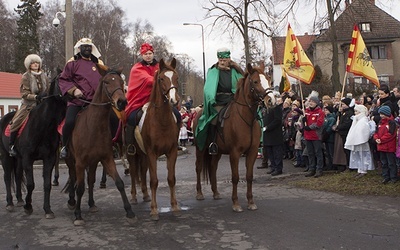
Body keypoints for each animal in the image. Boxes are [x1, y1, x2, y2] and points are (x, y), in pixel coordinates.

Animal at [0, 75, 66, 218]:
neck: (43, 125)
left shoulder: (49, 158)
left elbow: (47, 185)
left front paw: (48, 209)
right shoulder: (27, 158)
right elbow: (30, 184)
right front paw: (28, 206)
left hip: (18, 159)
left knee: (18, 175)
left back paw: (19, 200)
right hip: (6, 156)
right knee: (7, 178)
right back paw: (10, 203)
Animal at [64, 65, 136, 226]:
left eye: (121, 82)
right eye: (107, 82)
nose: (122, 102)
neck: (93, 126)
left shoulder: (106, 158)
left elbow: (119, 183)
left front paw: (129, 211)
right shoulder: (80, 162)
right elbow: (80, 188)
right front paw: (78, 215)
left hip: (93, 161)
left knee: (90, 181)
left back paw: (91, 204)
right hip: (71, 160)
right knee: (72, 178)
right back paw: (71, 201)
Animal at [126, 57, 180, 221]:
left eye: (176, 77)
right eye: (161, 78)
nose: (174, 100)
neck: (162, 121)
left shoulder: (171, 152)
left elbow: (171, 179)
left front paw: (175, 207)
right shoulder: (152, 153)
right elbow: (154, 181)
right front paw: (154, 210)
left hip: (143, 154)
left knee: (142, 171)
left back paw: (145, 194)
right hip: (132, 153)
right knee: (133, 172)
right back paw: (134, 197)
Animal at [192, 63, 274, 213]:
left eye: (268, 80)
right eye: (255, 82)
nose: (271, 100)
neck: (246, 119)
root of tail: (199, 112)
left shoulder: (252, 152)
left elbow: (249, 177)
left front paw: (251, 202)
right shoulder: (235, 153)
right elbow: (235, 177)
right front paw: (236, 203)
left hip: (217, 152)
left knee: (213, 167)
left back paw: (216, 192)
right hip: (200, 148)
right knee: (199, 168)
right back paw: (199, 193)